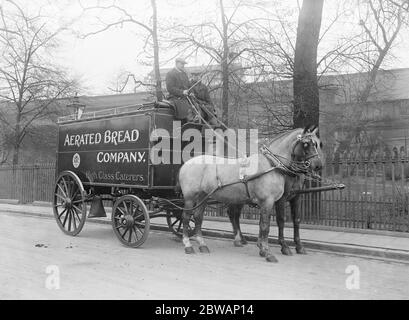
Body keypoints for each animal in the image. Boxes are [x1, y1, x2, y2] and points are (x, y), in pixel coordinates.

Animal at [177, 124, 324, 262]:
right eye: (306, 144)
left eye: (317, 143)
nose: (318, 165)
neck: (271, 165)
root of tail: (186, 163)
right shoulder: (269, 201)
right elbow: (266, 226)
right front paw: (268, 252)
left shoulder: (280, 200)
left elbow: (272, 223)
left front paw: (263, 249)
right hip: (190, 198)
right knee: (185, 217)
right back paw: (188, 244)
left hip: (203, 196)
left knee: (198, 217)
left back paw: (202, 244)